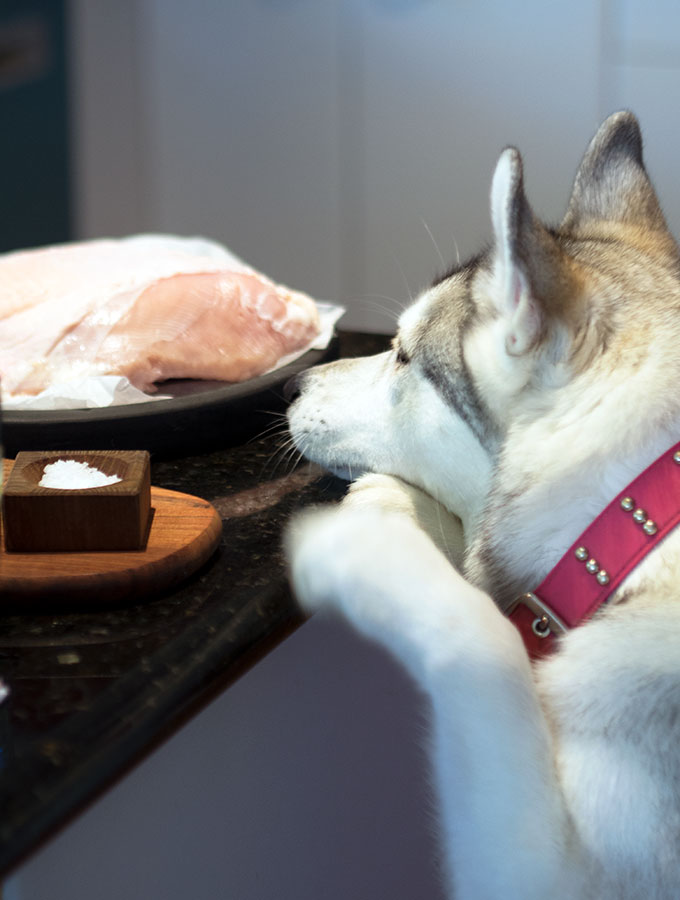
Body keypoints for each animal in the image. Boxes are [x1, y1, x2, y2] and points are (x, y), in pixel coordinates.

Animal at [284, 114, 680, 900]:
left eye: (404, 357)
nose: (292, 385)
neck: (633, 512)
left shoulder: (547, 873)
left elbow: (478, 634)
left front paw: (359, 545)